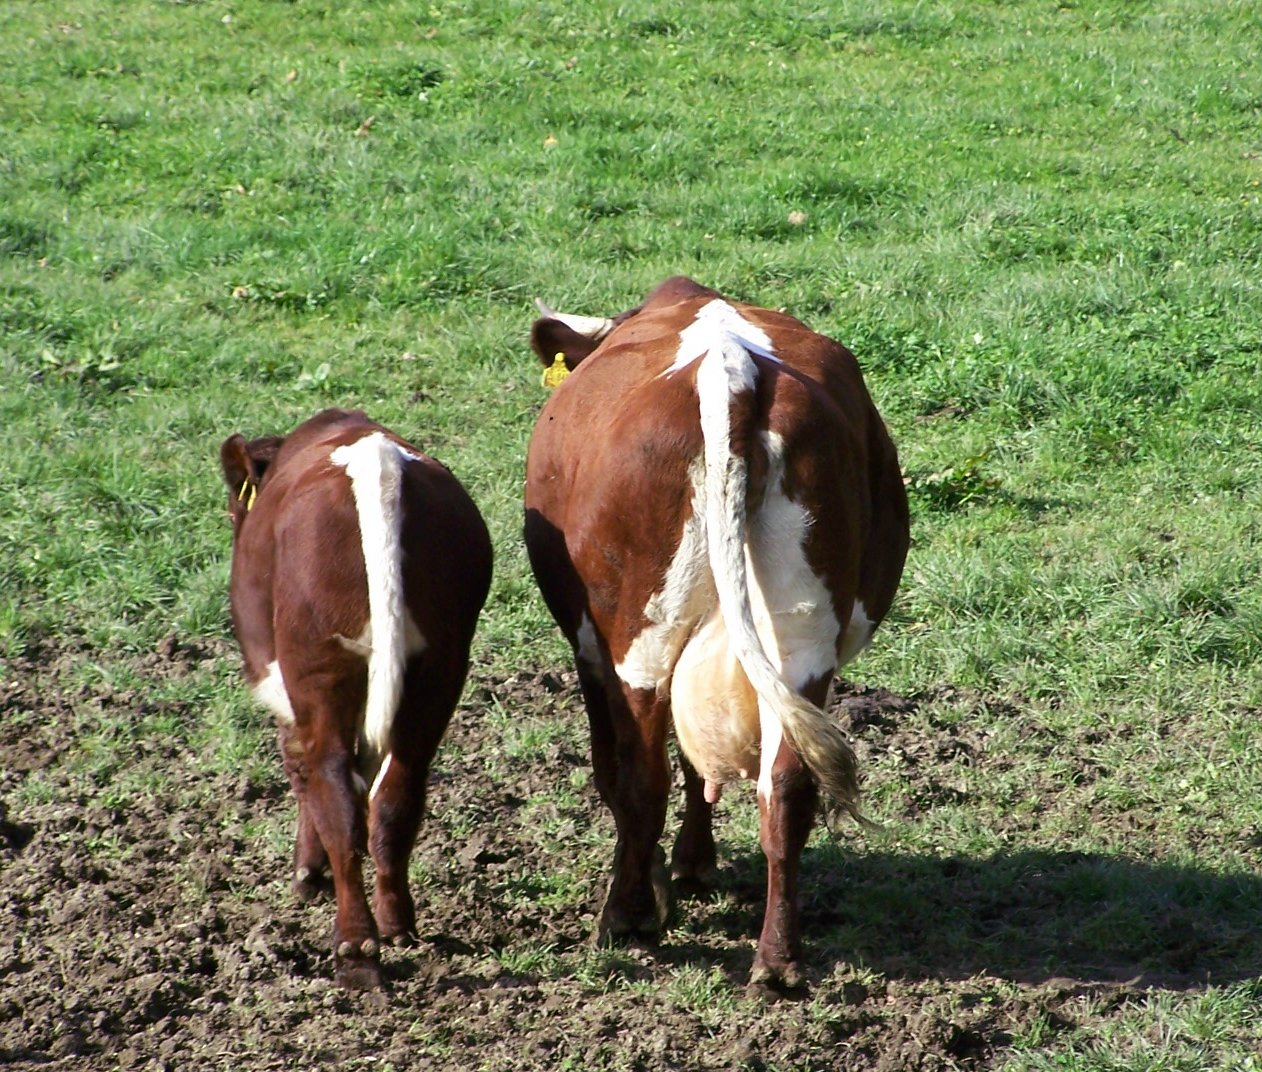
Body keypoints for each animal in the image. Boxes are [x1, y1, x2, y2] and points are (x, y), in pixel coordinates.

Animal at [219, 406, 489, 984]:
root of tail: (374, 461)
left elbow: (300, 771)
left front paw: (308, 873)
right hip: (440, 667)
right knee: (396, 793)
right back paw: (395, 923)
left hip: (317, 669)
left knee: (333, 786)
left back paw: (356, 944)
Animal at [522, 273, 908, 984]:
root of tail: (730, 369)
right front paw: (694, 864)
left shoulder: (590, 648)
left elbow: (618, 770)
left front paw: (660, 882)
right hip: (798, 644)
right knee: (785, 788)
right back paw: (777, 963)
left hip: (641, 639)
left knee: (642, 776)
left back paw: (628, 917)